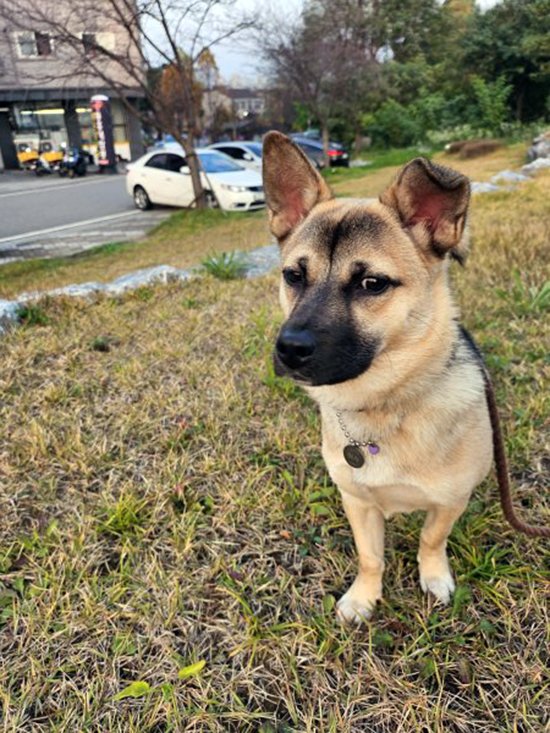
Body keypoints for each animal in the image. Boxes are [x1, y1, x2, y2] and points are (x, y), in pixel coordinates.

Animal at [264, 133, 496, 624]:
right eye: (294, 276)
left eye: (372, 283)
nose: (289, 348)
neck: (385, 404)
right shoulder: (357, 501)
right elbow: (371, 557)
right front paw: (364, 597)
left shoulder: (449, 502)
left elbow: (431, 540)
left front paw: (433, 576)